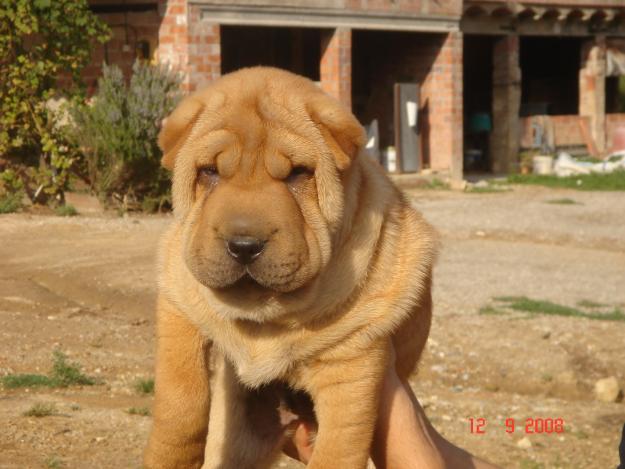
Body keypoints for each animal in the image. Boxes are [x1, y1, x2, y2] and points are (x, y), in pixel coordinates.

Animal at [144, 66, 436, 468]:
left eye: (298, 173)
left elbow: (338, 449)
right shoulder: (179, 301)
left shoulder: (353, 362)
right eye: (209, 172)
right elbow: (179, 400)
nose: (244, 246)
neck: (268, 319)